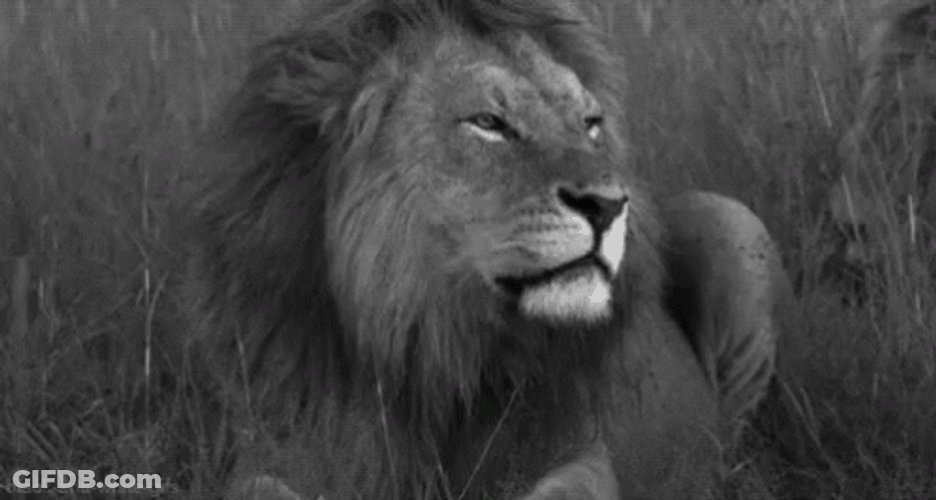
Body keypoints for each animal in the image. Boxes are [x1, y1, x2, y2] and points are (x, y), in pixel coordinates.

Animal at [187, 1, 790, 499]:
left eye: (590, 124)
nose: (608, 204)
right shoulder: (280, 449)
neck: (434, 345)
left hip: (734, 223)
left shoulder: (578, 454)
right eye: (489, 123)